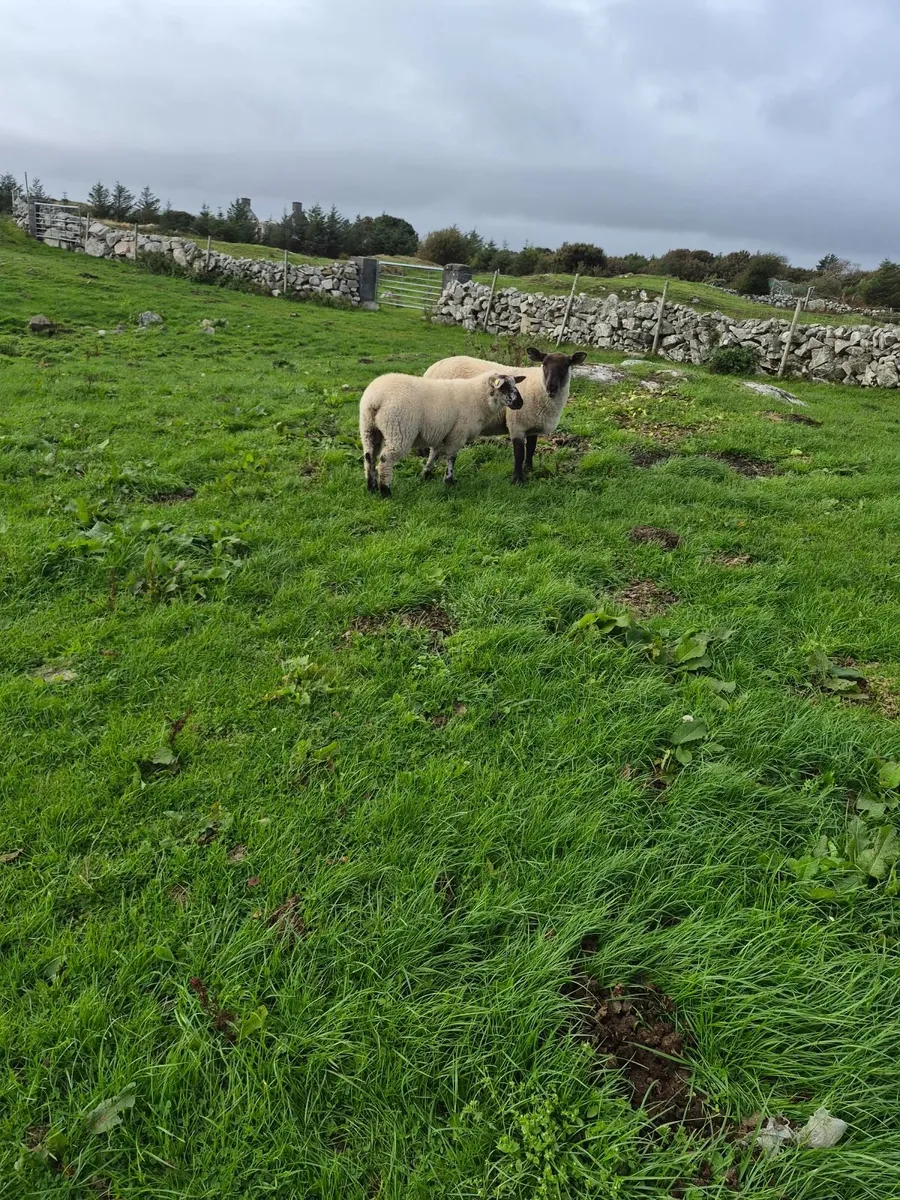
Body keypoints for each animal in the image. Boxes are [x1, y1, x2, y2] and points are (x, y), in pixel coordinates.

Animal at [359, 371, 525, 496]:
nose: (520, 403)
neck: (478, 397)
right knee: (385, 460)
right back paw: (385, 491)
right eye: (503, 387)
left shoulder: (441, 433)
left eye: (514, 384)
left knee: (369, 457)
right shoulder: (458, 433)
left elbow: (434, 454)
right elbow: (451, 458)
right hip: (398, 429)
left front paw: (425, 475)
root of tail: (375, 399)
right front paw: (449, 481)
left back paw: (371, 488)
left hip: (368, 429)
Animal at [424, 347, 586, 483]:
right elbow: (519, 453)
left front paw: (528, 469)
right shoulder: (516, 425)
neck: (538, 387)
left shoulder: (532, 425)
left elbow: (531, 448)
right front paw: (517, 480)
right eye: (544, 364)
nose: (551, 387)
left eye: (567, 365)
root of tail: (433, 367)